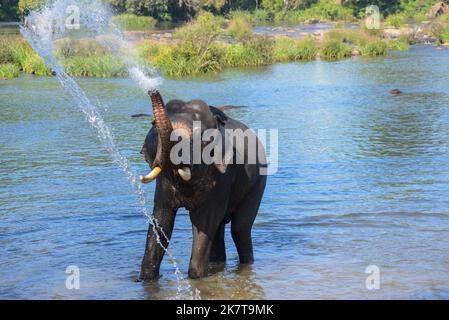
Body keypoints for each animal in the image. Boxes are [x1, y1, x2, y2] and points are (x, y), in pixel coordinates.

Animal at [139, 90, 266, 280]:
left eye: (201, 140)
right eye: (153, 125)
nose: (152, 91)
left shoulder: (222, 176)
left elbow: (203, 222)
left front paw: (196, 278)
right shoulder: (164, 184)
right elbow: (161, 219)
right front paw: (145, 279)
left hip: (257, 184)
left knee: (240, 229)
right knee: (220, 228)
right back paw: (217, 265)